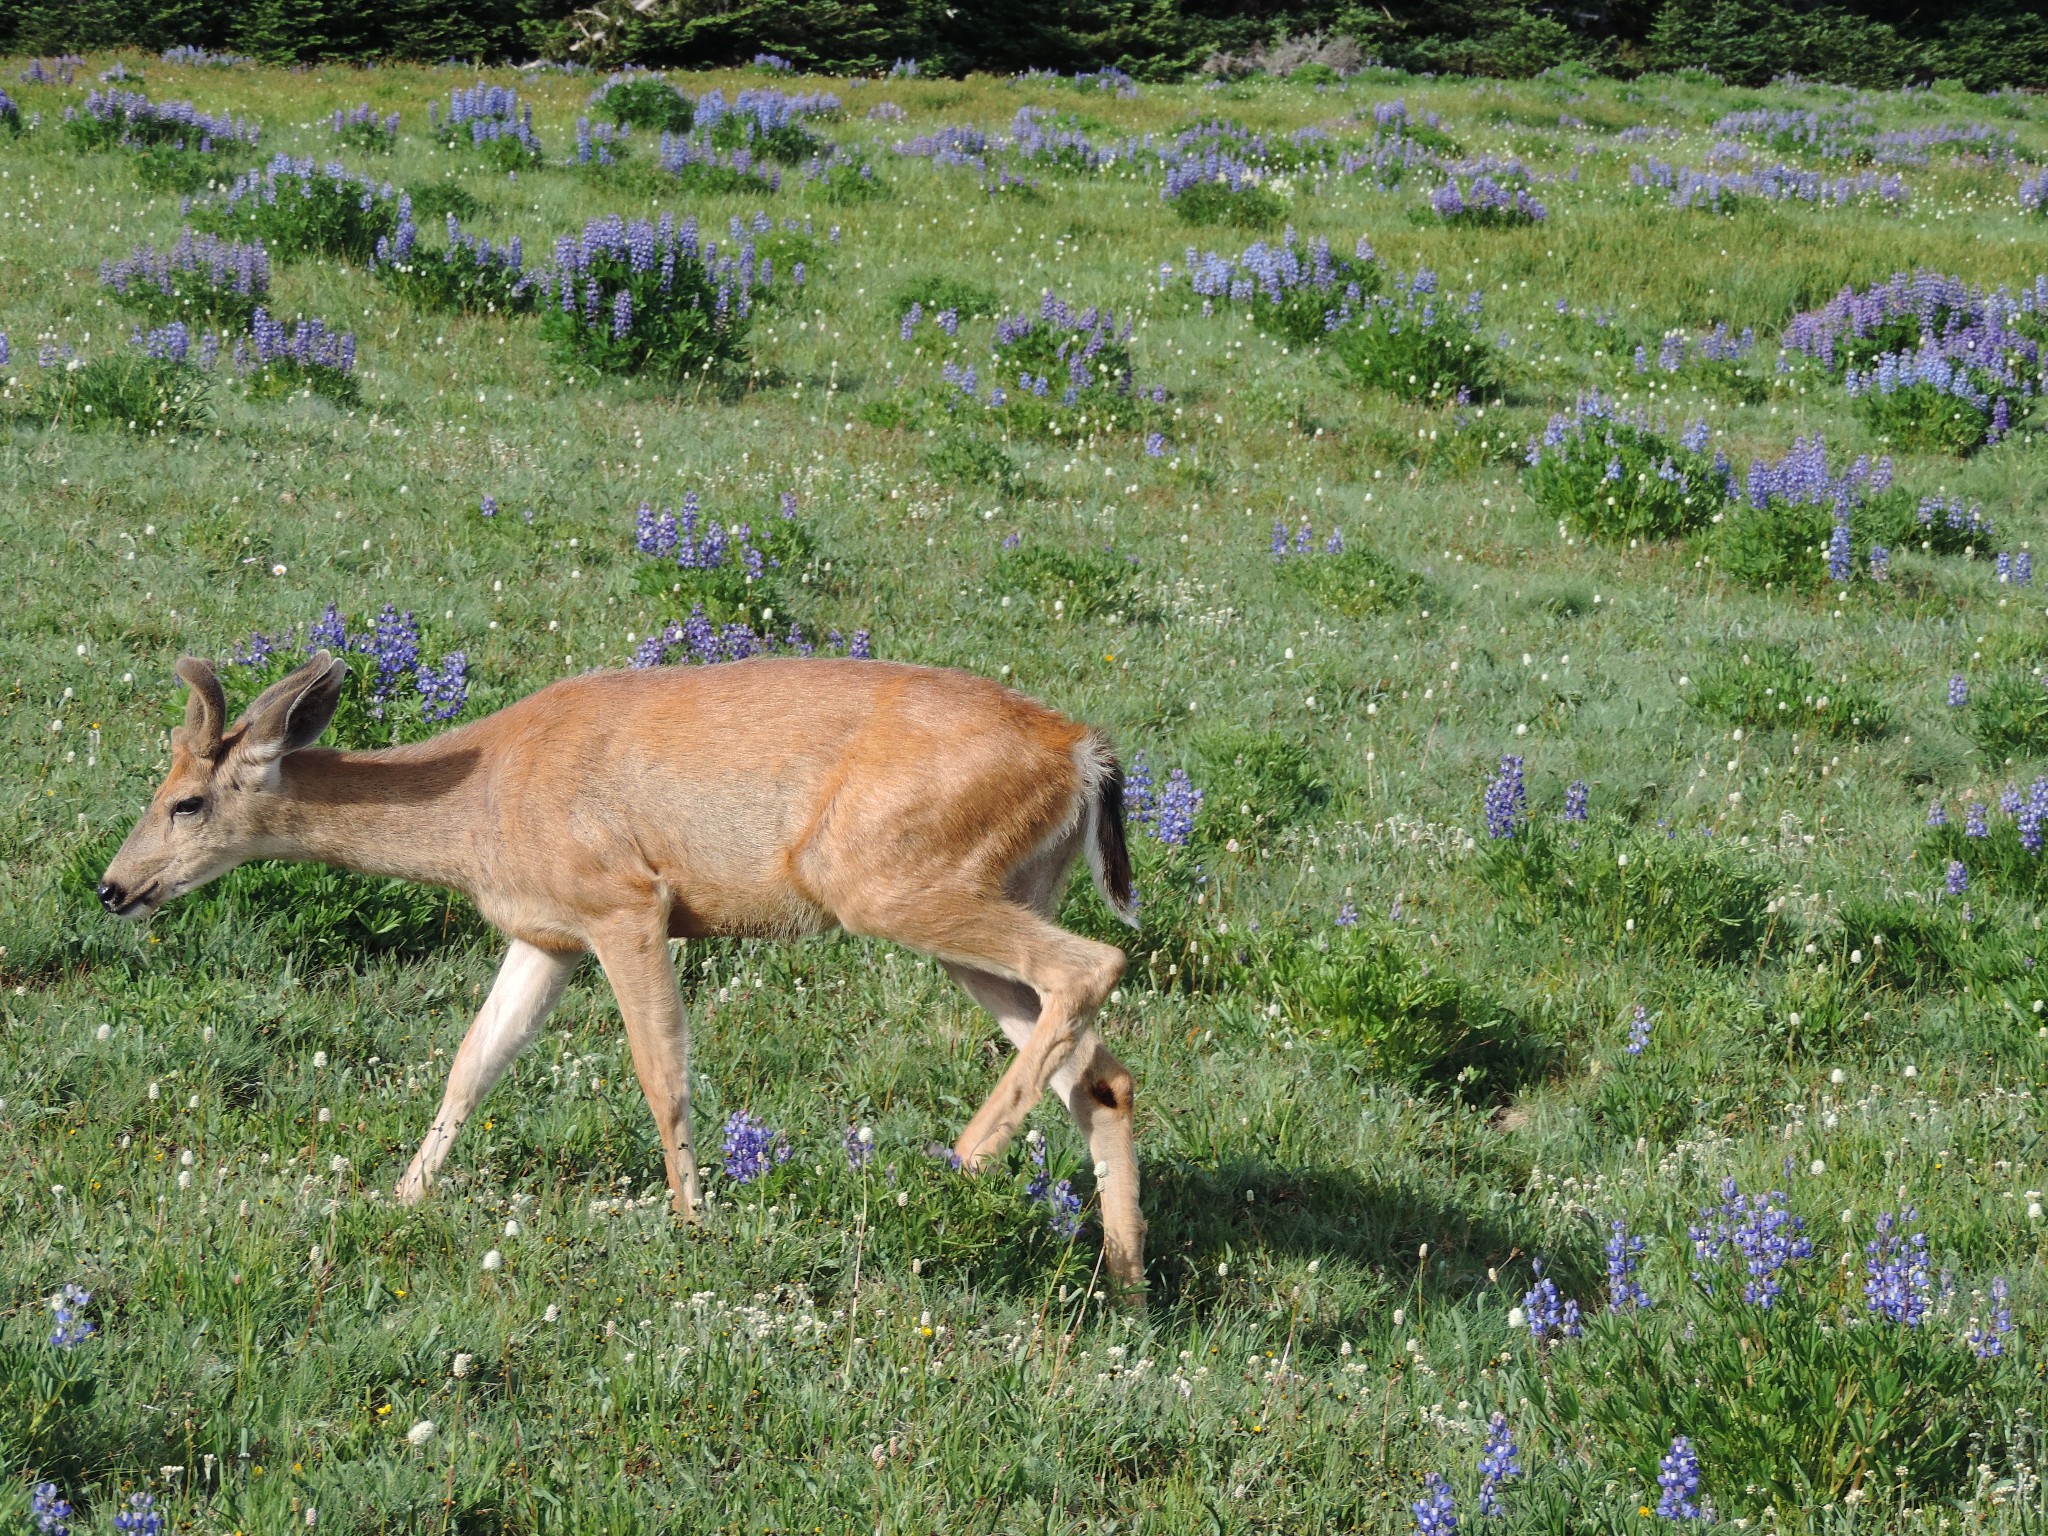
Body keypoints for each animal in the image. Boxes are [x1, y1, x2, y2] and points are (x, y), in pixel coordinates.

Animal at [96, 651, 1155, 1286]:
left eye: (187, 801)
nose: (113, 887)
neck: (482, 802)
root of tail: (1085, 753)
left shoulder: (626, 903)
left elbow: (662, 1072)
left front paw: (692, 1227)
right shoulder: (548, 934)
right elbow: (473, 1063)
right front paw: (401, 1199)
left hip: (886, 878)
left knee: (1097, 961)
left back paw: (966, 1156)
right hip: (988, 893)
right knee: (1102, 1073)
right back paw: (1130, 1282)